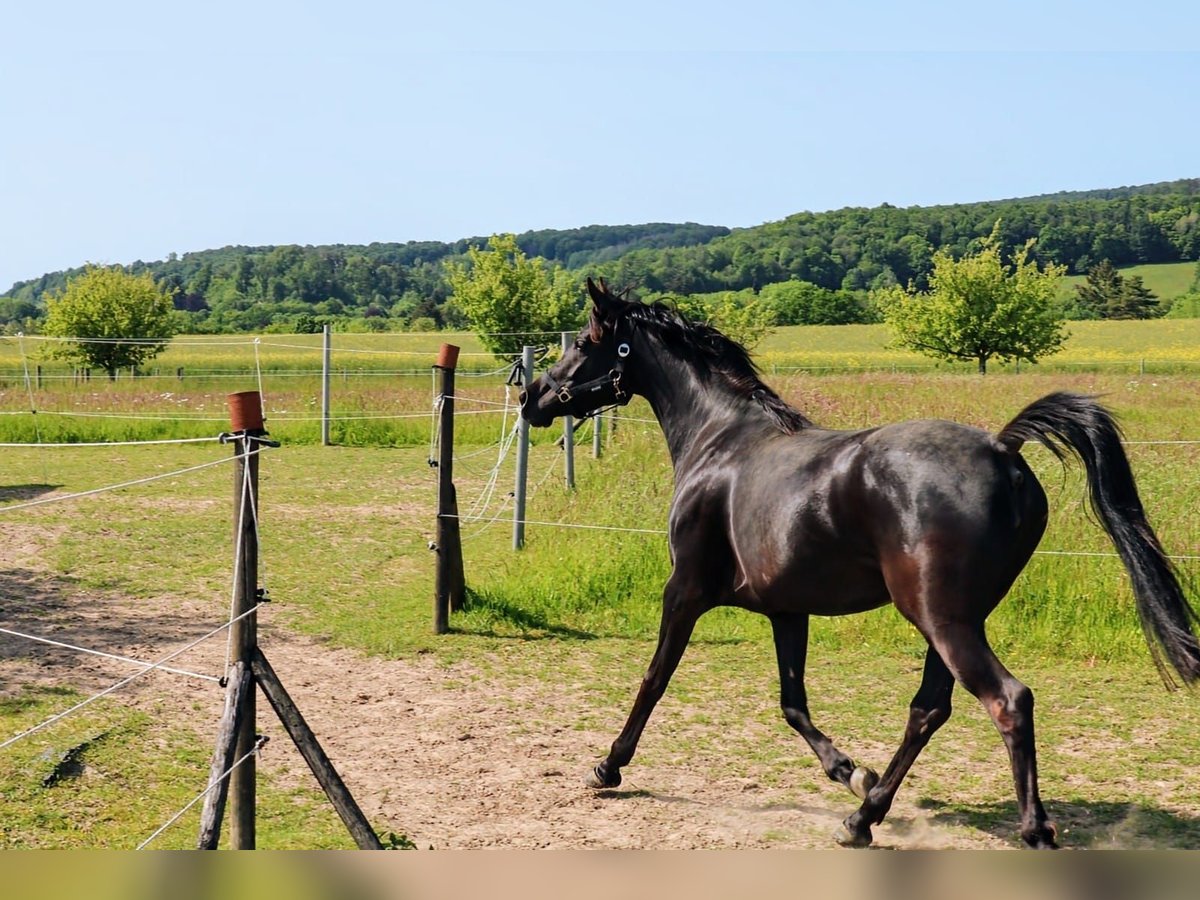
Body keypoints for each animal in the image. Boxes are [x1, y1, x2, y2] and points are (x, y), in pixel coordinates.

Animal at [518, 277, 1200, 849]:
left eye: (586, 342)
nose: (531, 396)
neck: (720, 444)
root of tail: (1004, 449)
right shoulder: (786, 610)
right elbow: (792, 701)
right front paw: (847, 770)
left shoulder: (683, 590)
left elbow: (654, 679)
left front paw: (607, 766)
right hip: (951, 620)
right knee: (929, 709)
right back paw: (862, 816)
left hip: (942, 619)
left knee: (1008, 700)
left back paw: (1032, 830)